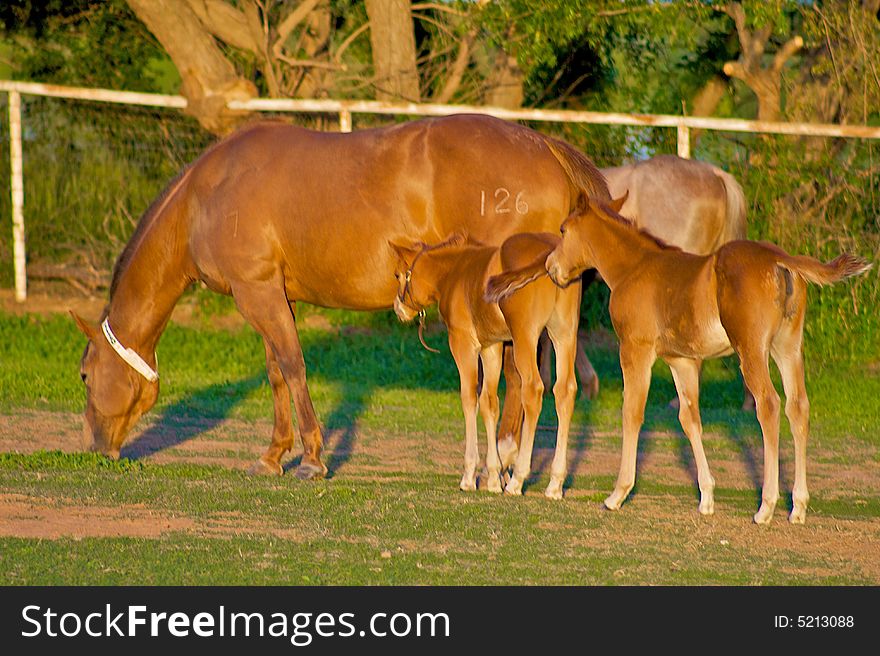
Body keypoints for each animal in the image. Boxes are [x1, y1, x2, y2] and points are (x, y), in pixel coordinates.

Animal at [390, 233, 580, 494]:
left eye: (398, 275)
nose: (398, 308)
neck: (455, 272)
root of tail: (551, 251)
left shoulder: (463, 344)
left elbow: (469, 397)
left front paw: (470, 476)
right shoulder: (492, 346)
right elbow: (490, 402)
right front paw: (493, 477)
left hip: (525, 337)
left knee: (532, 390)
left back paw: (518, 478)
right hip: (564, 334)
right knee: (565, 391)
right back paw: (555, 483)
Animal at [492, 195, 868, 524]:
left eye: (564, 229)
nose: (551, 268)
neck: (634, 267)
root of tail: (780, 258)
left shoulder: (635, 350)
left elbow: (632, 413)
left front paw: (618, 493)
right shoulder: (681, 361)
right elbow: (689, 420)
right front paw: (707, 498)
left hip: (752, 350)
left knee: (769, 405)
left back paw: (766, 506)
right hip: (787, 348)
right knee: (798, 407)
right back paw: (798, 506)